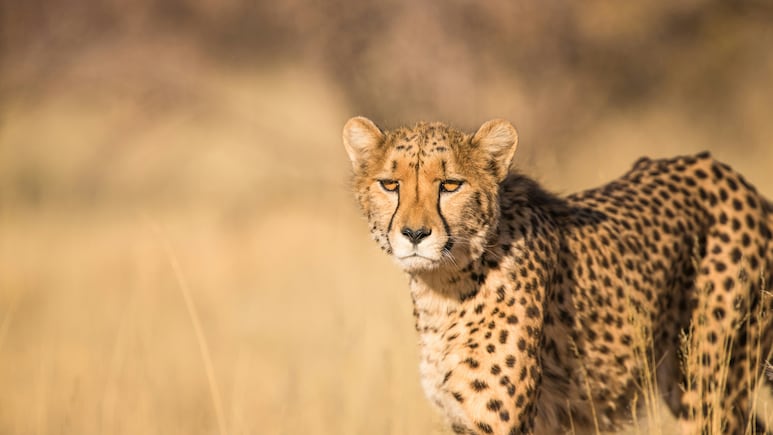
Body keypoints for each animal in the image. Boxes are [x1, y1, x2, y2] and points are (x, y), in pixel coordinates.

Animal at [341, 116, 773, 435]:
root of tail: (730, 175)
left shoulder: (499, 423)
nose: (414, 234)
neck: (443, 287)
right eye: (390, 184)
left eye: (450, 185)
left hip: (713, 384)